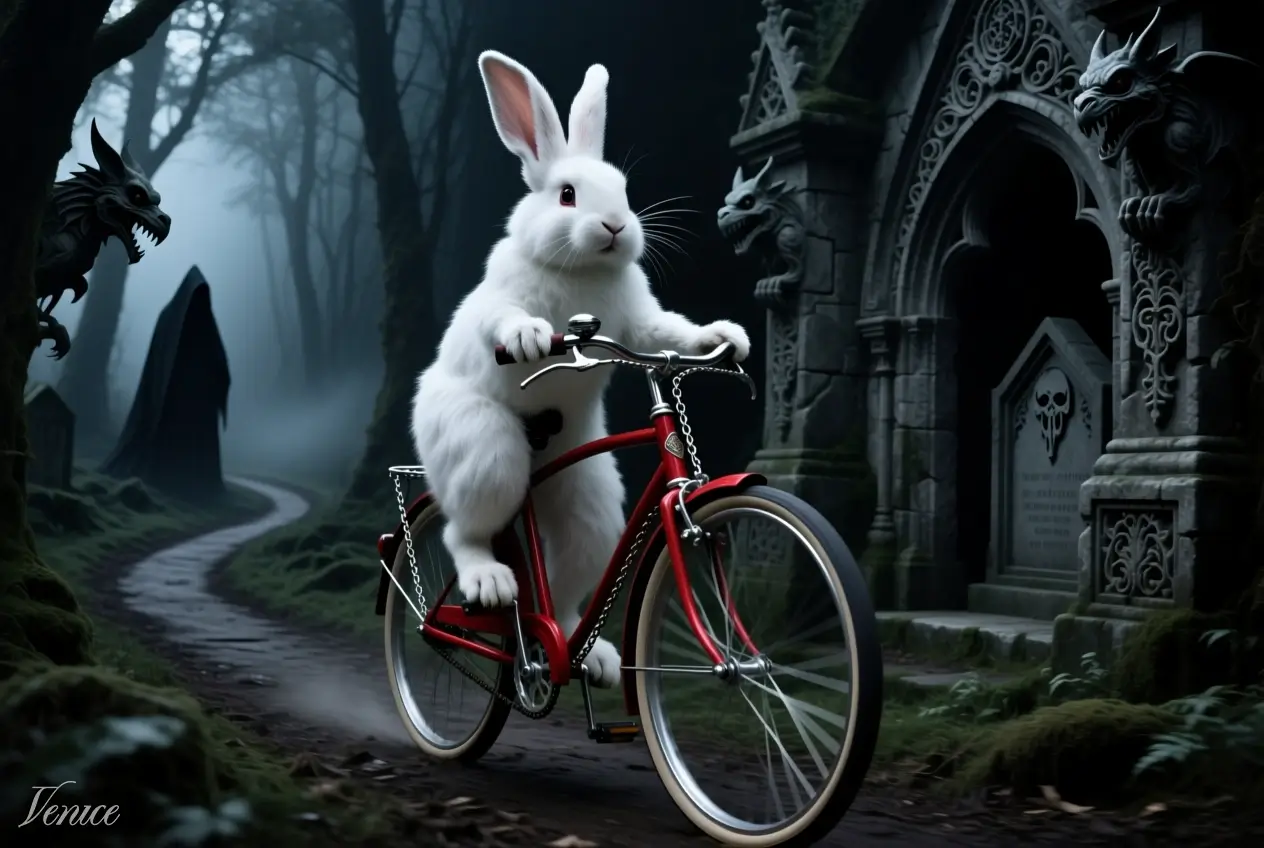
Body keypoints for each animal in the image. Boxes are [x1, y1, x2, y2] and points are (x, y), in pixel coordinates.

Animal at [410, 50, 750, 688]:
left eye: (624, 190)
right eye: (567, 194)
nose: (615, 225)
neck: (581, 269)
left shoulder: (641, 325)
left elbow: (667, 332)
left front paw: (725, 338)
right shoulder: (501, 296)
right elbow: (500, 316)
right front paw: (527, 338)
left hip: (590, 501)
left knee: (566, 595)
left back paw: (594, 658)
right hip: (485, 452)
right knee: (464, 532)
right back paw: (489, 582)